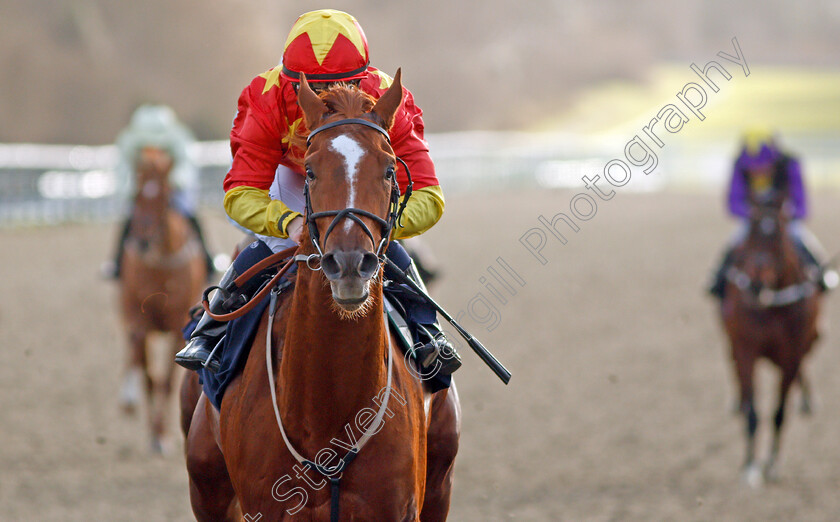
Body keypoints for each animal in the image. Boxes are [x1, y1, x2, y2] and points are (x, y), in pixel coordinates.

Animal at [119, 146, 208, 450]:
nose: (143, 241)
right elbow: (148, 376)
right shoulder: (139, 321)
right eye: (136, 193)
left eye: (164, 195)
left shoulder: (174, 323)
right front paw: (153, 432)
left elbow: (166, 382)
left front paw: (161, 434)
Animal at [720, 190, 820, 484]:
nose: (755, 284)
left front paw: (772, 464)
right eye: (752, 231)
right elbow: (753, 411)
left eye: (778, 235)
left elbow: (779, 412)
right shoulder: (746, 350)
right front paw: (751, 466)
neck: (771, 304)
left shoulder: (792, 355)